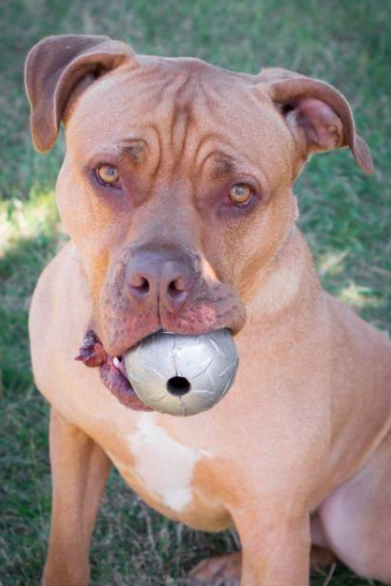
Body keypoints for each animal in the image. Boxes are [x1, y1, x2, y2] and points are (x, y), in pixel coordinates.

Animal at [25, 33, 391, 584]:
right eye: (108, 173)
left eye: (240, 192)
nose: (159, 279)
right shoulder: (71, 438)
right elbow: (66, 550)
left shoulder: (274, 523)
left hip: (359, 527)